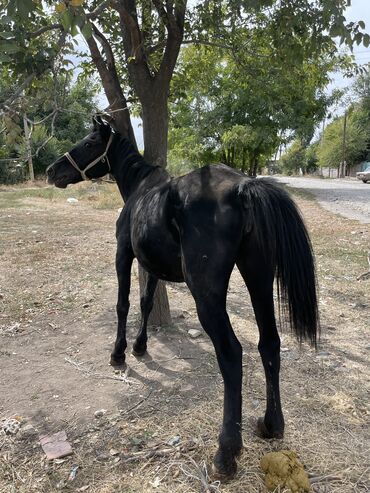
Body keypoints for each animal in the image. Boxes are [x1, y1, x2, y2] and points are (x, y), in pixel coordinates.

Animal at [47, 116, 318, 476]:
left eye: (90, 142)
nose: (52, 170)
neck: (140, 189)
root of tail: (244, 188)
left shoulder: (124, 254)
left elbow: (124, 304)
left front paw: (119, 353)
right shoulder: (151, 265)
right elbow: (147, 302)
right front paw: (140, 346)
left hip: (207, 295)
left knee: (231, 353)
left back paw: (226, 453)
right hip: (257, 278)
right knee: (269, 343)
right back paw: (271, 425)